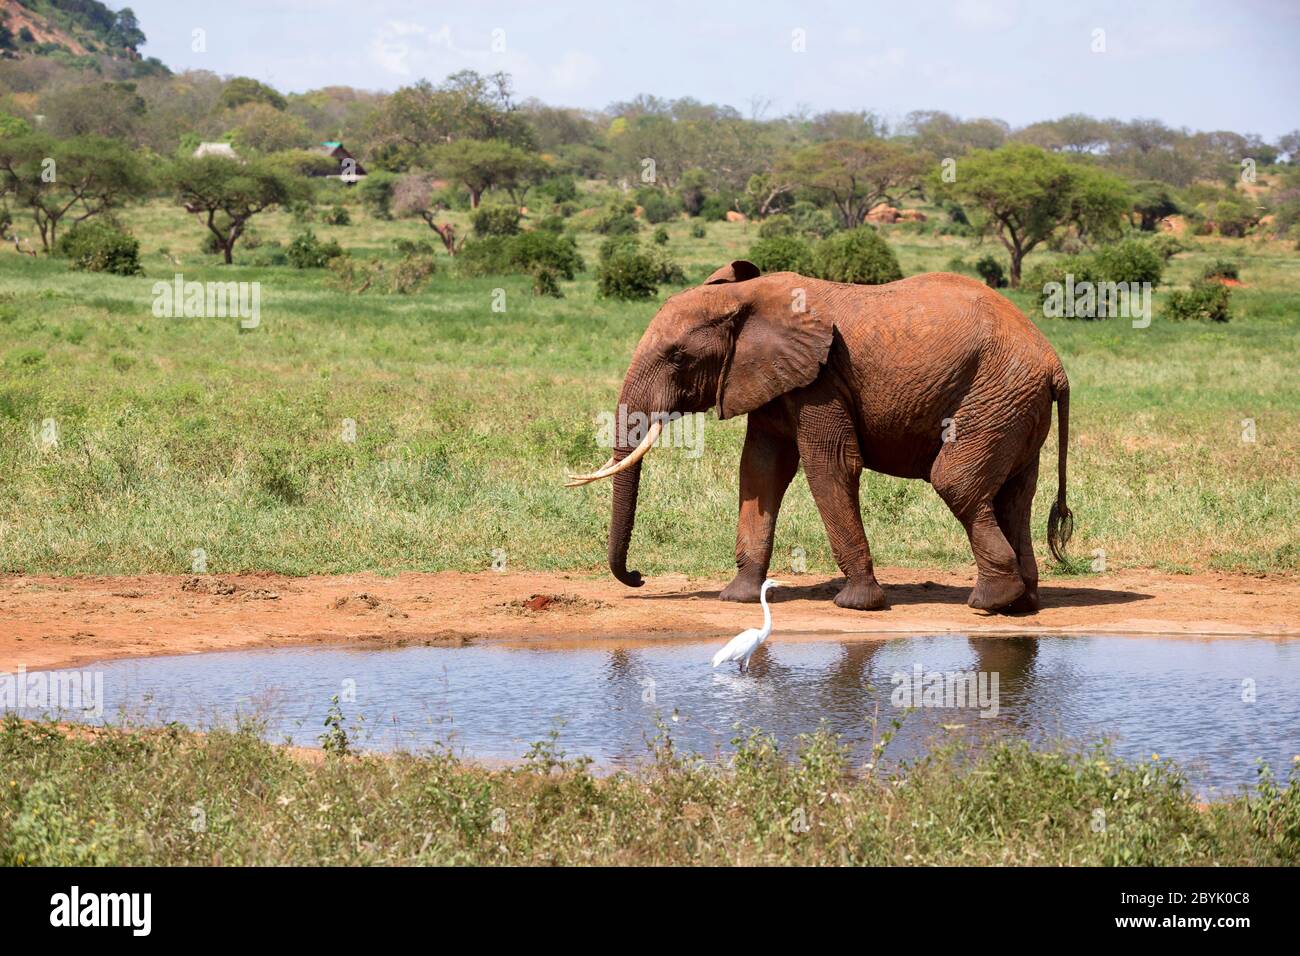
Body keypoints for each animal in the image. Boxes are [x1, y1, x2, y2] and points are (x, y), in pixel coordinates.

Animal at [567, 261, 1073, 614]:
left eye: (677, 357)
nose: (638, 576)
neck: (747, 297)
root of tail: (1055, 365)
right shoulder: (769, 378)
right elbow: (760, 470)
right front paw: (738, 597)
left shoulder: (822, 378)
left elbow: (829, 463)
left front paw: (858, 604)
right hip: (1013, 408)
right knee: (1013, 496)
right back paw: (1021, 604)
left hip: (994, 397)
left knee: (956, 482)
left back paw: (989, 602)